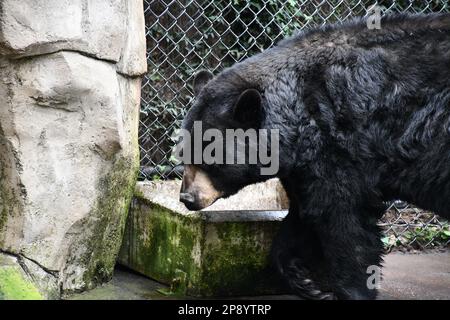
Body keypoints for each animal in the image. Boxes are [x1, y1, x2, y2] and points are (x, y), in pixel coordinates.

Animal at [178, 14, 450, 300]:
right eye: (183, 153)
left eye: (210, 157)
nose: (187, 198)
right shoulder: (305, 165)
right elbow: (304, 216)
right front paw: (306, 281)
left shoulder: (341, 147)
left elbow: (345, 218)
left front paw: (352, 290)